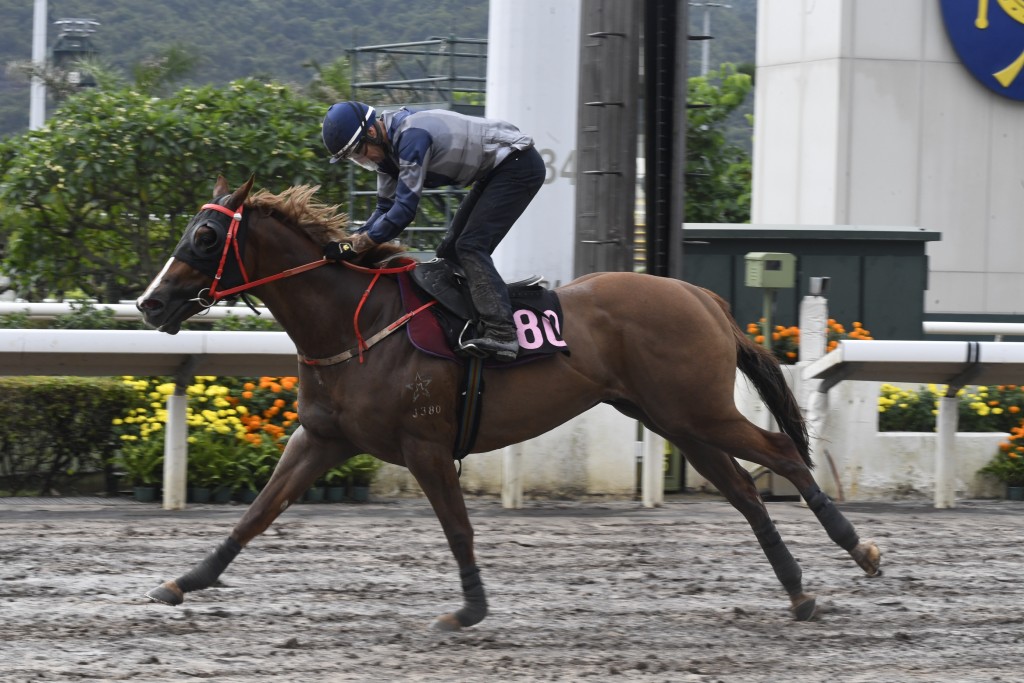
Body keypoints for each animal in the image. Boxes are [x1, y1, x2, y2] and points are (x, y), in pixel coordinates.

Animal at [134, 178, 880, 630]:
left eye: (206, 237)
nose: (150, 303)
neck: (355, 321)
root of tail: (703, 296)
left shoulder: (426, 446)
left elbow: (458, 528)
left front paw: (468, 608)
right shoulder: (322, 437)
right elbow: (259, 511)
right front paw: (184, 579)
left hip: (699, 411)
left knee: (780, 452)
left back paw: (859, 548)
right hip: (675, 419)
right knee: (745, 493)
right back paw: (798, 588)